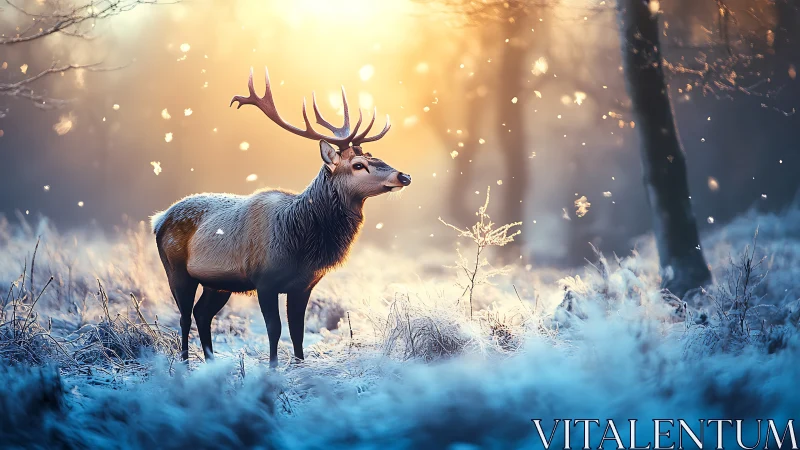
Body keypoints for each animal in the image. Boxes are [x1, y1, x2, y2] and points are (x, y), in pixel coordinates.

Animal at [151, 67, 411, 366]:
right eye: (358, 165)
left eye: (375, 156)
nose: (404, 176)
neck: (300, 240)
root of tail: (158, 219)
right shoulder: (265, 280)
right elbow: (274, 329)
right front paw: (273, 368)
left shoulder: (303, 284)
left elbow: (297, 331)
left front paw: (299, 365)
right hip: (176, 270)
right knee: (184, 316)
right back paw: (184, 363)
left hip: (218, 283)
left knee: (202, 313)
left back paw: (212, 362)